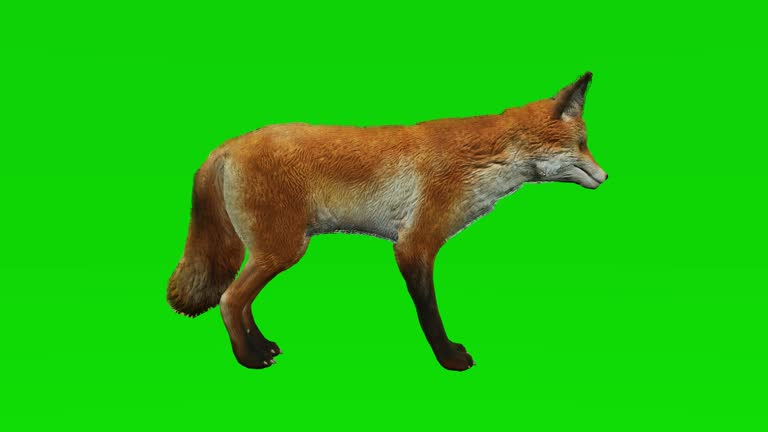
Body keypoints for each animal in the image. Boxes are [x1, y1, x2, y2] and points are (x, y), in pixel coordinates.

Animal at [167, 72, 607, 371]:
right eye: (583, 145)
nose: (606, 177)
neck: (483, 161)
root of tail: (228, 145)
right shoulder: (414, 245)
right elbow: (430, 315)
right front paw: (448, 359)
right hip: (283, 249)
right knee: (229, 299)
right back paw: (248, 358)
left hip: (273, 251)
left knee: (241, 302)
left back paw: (261, 347)